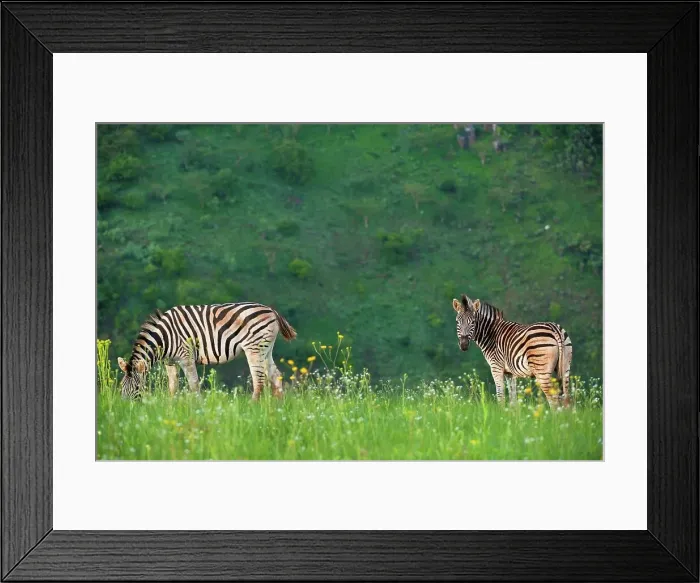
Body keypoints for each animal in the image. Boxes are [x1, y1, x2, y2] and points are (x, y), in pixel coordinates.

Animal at [117, 302, 296, 400]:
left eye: (137, 387)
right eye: (121, 386)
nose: (127, 408)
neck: (165, 338)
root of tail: (271, 310)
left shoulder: (186, 356)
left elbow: (194, 385)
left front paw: (198, 408)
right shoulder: (170, 362)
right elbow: (173, 386)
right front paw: (171, 407)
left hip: (254, 348)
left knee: (258, 380)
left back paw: (252, 407)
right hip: (266, 349)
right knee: (275, 375)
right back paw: (279, 408)